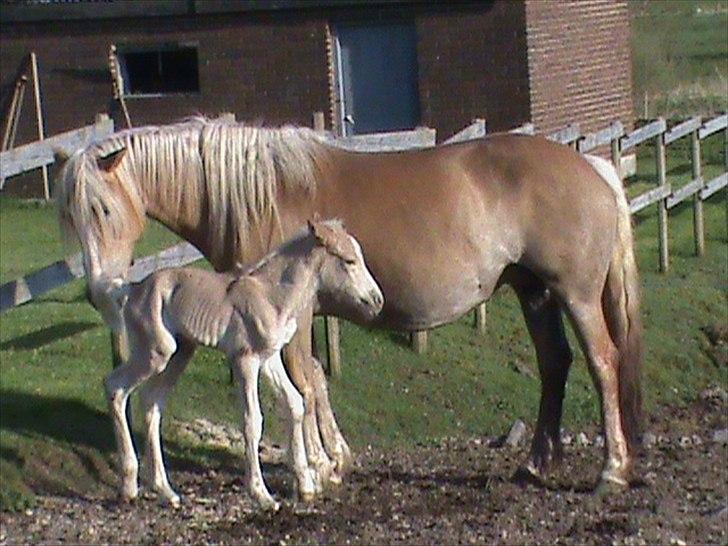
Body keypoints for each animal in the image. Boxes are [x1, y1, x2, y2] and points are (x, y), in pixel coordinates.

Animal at [106, 219, 386, 508]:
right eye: (349, 261)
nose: (377, 300)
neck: (272, 295)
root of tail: (132, 290)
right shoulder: (245, 360)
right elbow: (252, 421)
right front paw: (261, 494)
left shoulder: (271, 358)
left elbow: (294, 403)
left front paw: (306, 485)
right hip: (156, 352)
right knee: (115, 387)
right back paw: (129, 486)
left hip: (180, 354)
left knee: (152, 402)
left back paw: (165, 490)